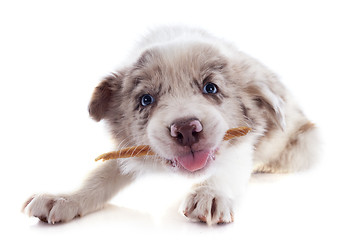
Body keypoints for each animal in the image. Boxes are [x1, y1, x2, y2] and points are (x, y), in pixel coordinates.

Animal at [22, 26, 320, 225]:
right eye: (146, 99)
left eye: (211, 88)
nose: (187, 129)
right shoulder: (129, 149)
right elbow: (99, 177)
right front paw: (64, 198)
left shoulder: (242, 142)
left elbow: (228, 167)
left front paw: (210, 193)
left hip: (306, 146)